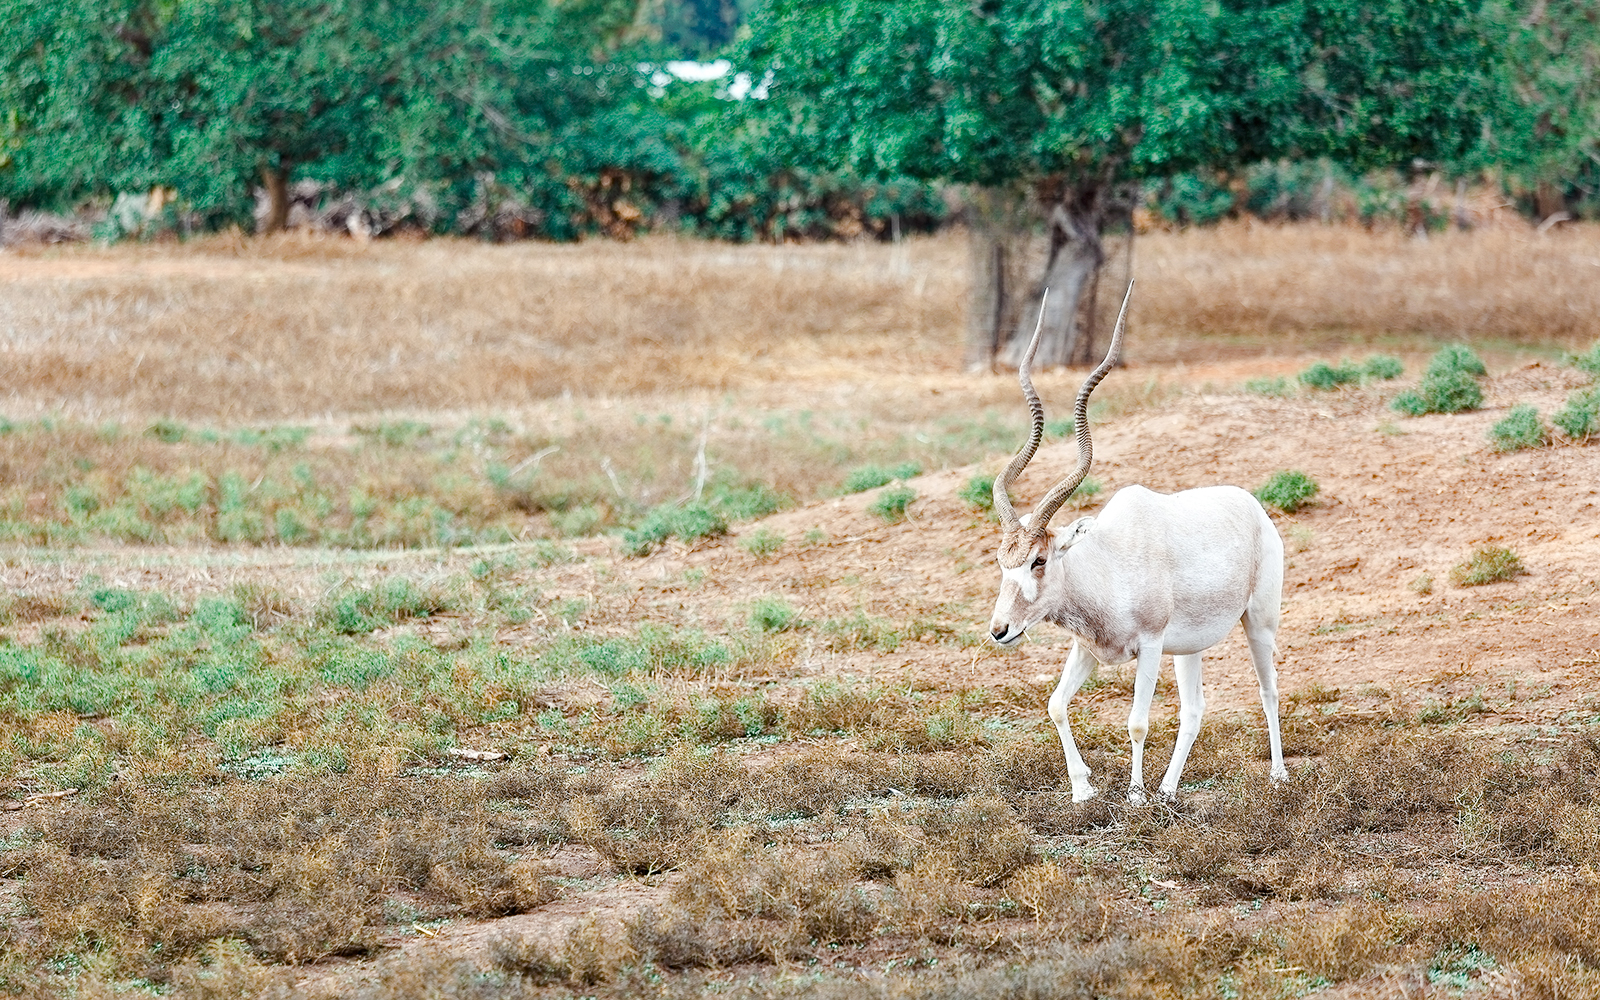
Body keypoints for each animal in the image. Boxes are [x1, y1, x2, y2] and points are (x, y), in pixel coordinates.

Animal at [988, 283, 1288, 804]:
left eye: (1039, 560)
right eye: (1001, 561)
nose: (1000, 630)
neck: (1107, 566)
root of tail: (1253, 507)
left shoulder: (1149, 647)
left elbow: (1137, 722)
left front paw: (1134, 795)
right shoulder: (1087, 649)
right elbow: (1056, 705)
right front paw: (1083, 790)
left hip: (1259, 623)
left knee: (1267, 691)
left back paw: (1277, 776)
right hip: (1188, 649)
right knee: (1194, 709)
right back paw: (1169, 790)